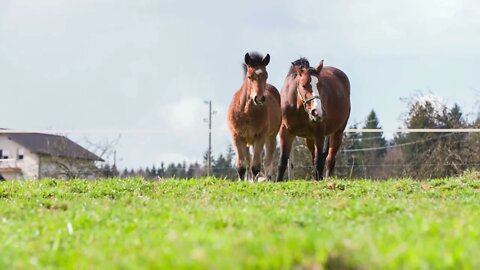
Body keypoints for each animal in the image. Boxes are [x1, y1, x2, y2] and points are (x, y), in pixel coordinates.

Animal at [228, 51, 282, 180]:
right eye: (249, 76)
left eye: (266, 75)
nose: (259, 99)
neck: (246, 112)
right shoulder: (236, 136)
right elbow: (241, 166)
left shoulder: (260, 136)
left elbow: (256, 166)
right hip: (248, 142)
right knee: (248, 162)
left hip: (270, 137)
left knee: (267, 163)